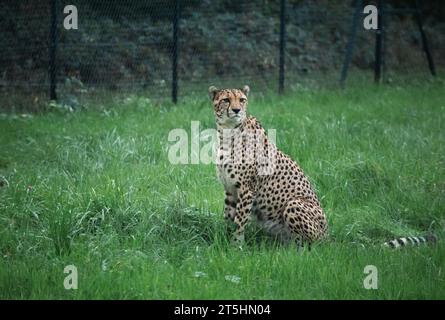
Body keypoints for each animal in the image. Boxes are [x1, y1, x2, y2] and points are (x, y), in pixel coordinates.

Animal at [207, 84, 326, 246]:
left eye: (242, 100)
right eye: (226, 100)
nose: (237, 110)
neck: (227, 132)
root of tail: (328, 236)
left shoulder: (247, 188)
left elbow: (240, 220)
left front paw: (236, 245)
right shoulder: (230, 188)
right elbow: (228, 217)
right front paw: (223, 240)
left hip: (294, 204)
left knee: (308, 245)